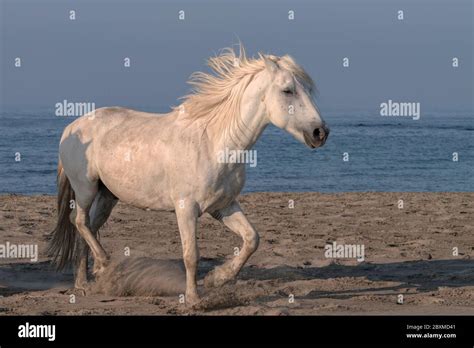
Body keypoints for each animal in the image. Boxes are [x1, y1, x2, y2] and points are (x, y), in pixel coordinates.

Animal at [48, 45, 330, 304]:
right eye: (287, 90)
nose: (320, 133)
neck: (214, 144)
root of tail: (71, 128)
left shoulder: (223, 206)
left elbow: (252, 239)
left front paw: (218, 278)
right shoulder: (186, 208)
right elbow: (191, 255)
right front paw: (194, 299)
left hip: (108, 196)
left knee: (89, 228)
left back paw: (86, 282)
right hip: (86, 189)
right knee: (79, 221)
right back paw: (103, 264)